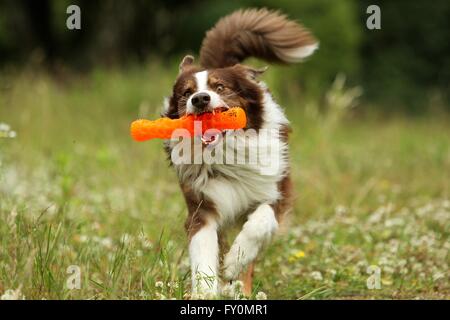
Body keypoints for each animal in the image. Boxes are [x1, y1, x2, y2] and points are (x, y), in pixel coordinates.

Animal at [162, 8, 316, 298]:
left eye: (220, 87)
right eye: (187, 92)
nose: (200, 99)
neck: (226, 155)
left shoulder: (274, 193)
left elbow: (259, 224)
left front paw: (234, 264)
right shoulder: (202, 208)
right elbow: (203, 254)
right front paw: (206, 292)